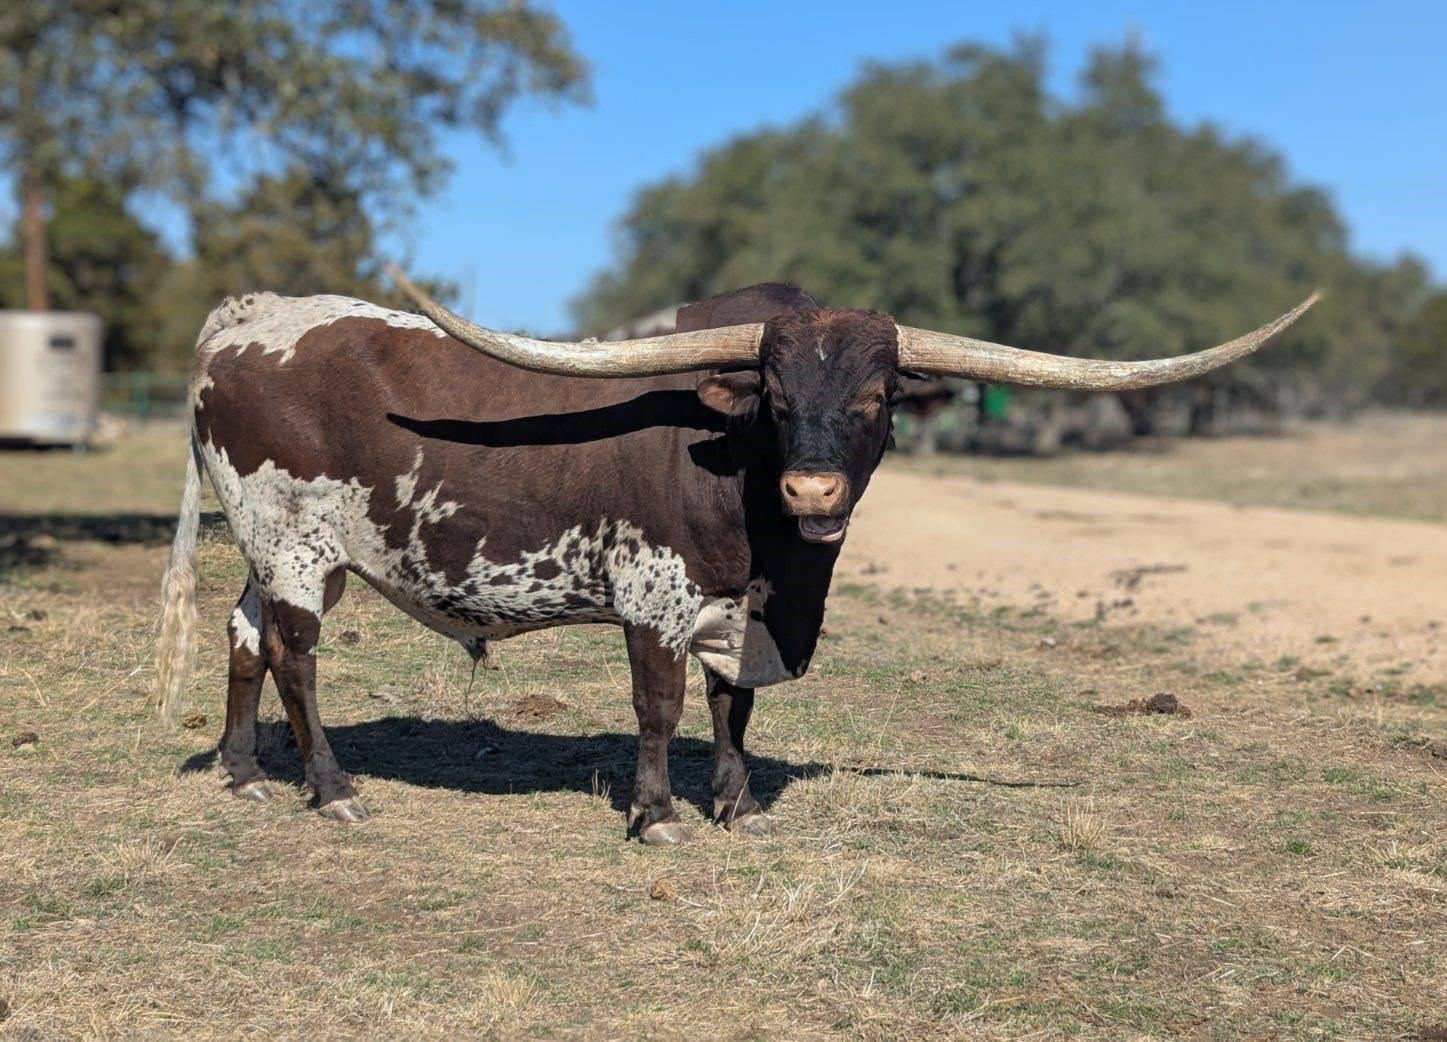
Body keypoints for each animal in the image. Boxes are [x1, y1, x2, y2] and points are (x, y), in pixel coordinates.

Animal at [155, 272, 1316, 843]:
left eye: (877, 397)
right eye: (773, 397)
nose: (812, 493)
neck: (774, 555)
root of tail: (249, 317)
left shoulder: (741, 607)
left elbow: (733, 706)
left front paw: (737, 803)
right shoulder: (652, 594)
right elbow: (661, 706)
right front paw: (660, 814)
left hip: (283, 549)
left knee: (245, 637)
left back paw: (242, 773)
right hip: (294, 543)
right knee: (297, 658)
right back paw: (332, 790)